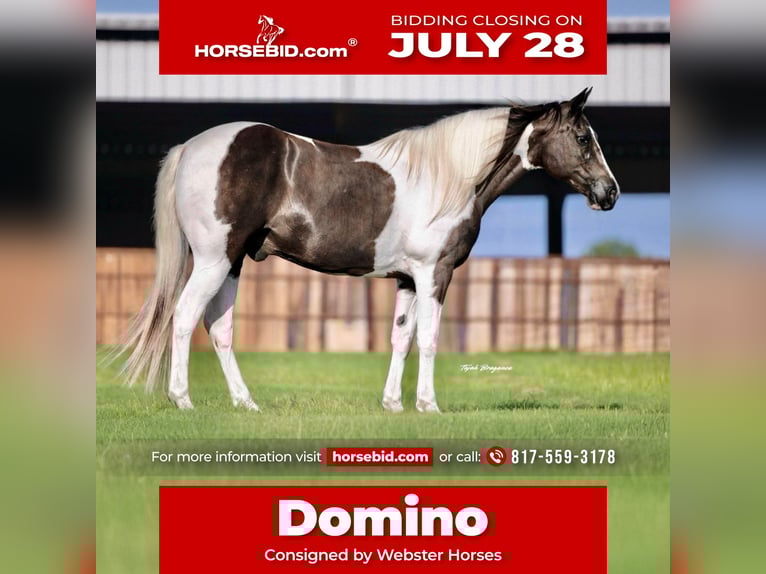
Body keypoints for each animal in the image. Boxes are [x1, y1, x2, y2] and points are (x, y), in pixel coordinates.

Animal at [121, 88, 619, 412]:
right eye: (582, 137)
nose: (610, 192)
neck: (449, 176)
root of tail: (191, 147)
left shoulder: (407, 279)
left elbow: (401, 338)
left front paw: (394, 404)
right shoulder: (435, 274)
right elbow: (429, 339)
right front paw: (428, 405)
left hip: (232, 263)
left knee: (219, 328)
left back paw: (246, 403)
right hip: (213, 260)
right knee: (185, 318)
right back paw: (183, 400)